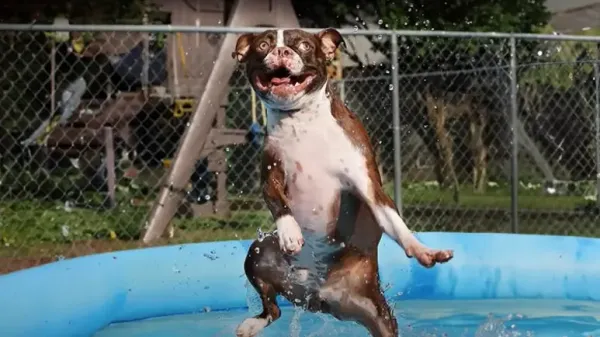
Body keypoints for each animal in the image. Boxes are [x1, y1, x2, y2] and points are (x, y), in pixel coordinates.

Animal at [232, 28, 452, 336]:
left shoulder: (366, 184)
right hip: (259, 254)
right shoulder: (271, 175)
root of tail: (319, 295)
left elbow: (394, 220)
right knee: (272, 308)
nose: (282, 51)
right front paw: (290, 232)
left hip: (376, 311)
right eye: (263, 45)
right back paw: (252, 324)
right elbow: (278, 203)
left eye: (304, 45)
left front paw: (421, 250)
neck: (302, 121)